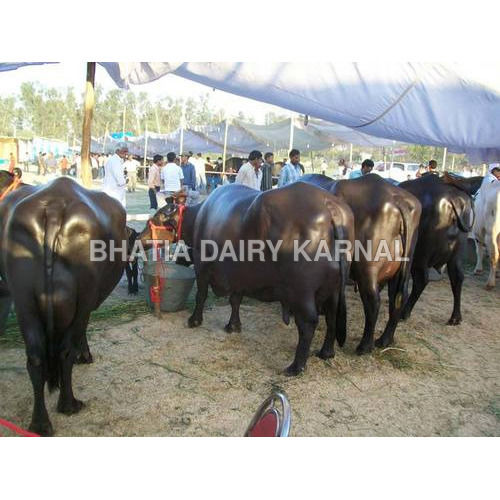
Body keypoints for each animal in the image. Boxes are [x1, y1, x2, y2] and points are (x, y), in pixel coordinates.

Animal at [0, 174, 133, 436]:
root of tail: (54, 206)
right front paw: (85, 355)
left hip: (24, 301)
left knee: (36, 358)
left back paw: (40, 423)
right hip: (83, 295)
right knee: (64, 351)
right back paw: (69, 404)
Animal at [139, 182, 354, 374]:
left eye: (157, 217)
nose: (139, 237)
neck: (200, 218)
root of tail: (329, 206)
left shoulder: (202, 268)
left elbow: (201, 295)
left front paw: (194, 320)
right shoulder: (239, 275)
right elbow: (235, 300)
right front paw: (233, 326)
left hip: (302, 292)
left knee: (308, 323)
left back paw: (295, 367)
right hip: (334, 289)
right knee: (332, 316)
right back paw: (326, 352)